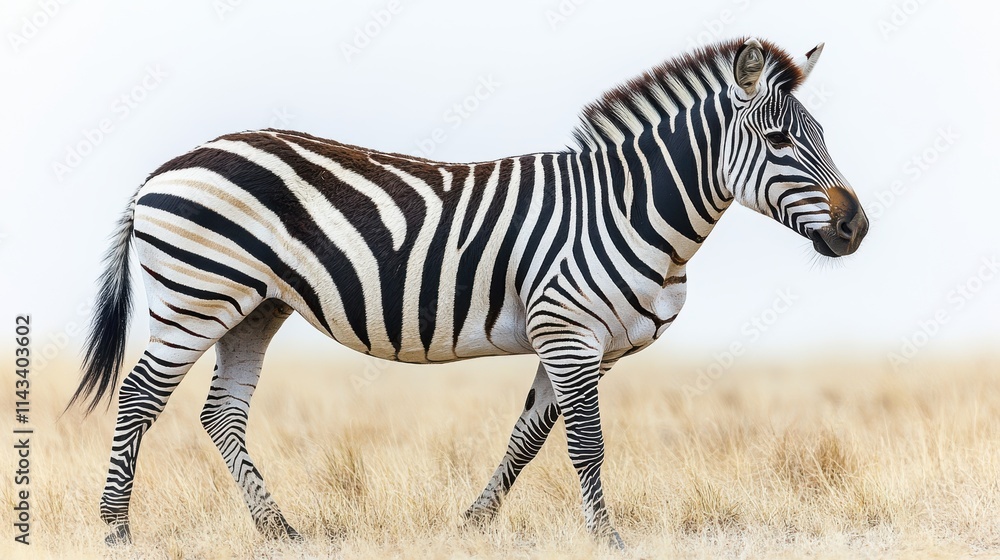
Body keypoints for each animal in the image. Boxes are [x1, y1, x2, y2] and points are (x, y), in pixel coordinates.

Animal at [71, 37, 868, 547]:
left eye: (822, 134)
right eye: (778, 142)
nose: (856, 226)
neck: (623, 207)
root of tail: (167, 167)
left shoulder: (578, 342)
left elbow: (529, 436)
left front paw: (476, 523)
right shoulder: (569, 330)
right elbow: (586, 442)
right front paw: (607, 537)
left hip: (253, 307)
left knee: (220, 415)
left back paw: (279, 530)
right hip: (196, 296)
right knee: (139, 398)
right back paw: (115, 528)